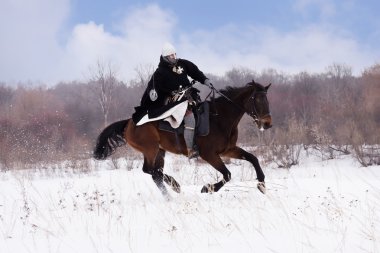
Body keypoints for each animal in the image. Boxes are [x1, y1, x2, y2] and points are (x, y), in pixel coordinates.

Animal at [93, 80, 272, 199]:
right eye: (257, 99)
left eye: (267, 100)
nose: (267, 124)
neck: (219, 118)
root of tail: (129, 123)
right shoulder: (209, 154)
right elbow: (227, 174)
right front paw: (207, 188)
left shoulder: (228, 150)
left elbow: (253, 158)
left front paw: (262, 184)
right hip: (150, 149)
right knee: (150, 171)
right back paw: (174, 187)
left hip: (160, 151)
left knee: (156, 172)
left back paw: (172, 191)